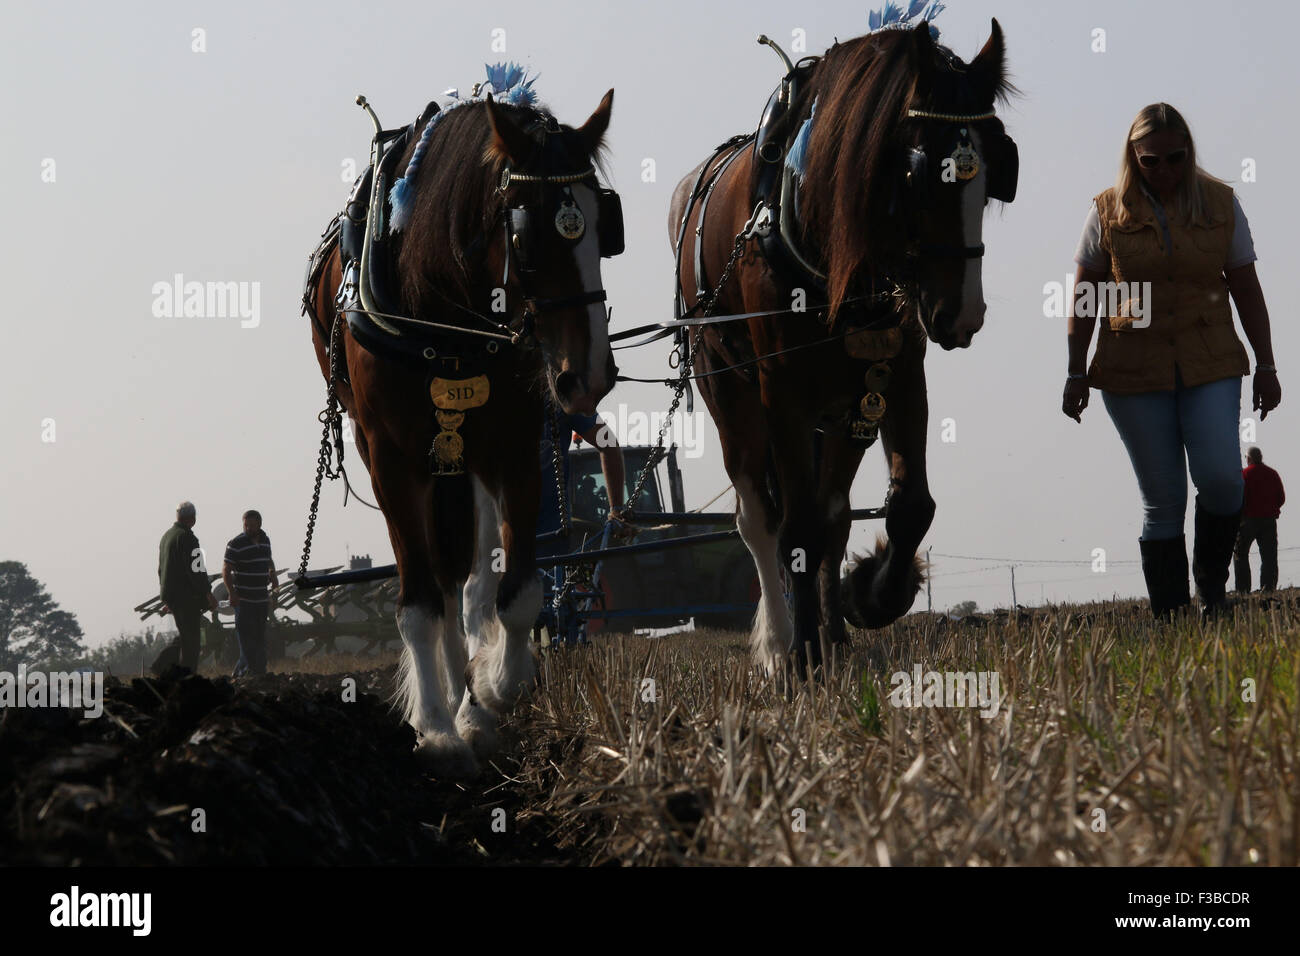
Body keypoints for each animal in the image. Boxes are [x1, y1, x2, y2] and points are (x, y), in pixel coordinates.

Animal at [304, 71, 621, 777]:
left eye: (605, 227)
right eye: (526, 237)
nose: (587, 375)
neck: (441, 312)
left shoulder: (514, 447)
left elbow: (517, 590)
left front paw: (495, 689)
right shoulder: (392, 459)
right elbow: (419, 603)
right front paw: (436, 730)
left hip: (464, 460)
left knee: (468, 583)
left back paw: (472, 696)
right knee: (440, 583)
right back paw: (449, 705)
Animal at [668, 18, 1017, 674]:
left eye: (997, 170)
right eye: (916, 173)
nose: (961, 314)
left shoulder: (896, 376)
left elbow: (909, 506)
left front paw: (872, 594)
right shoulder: (782, 389)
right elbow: (796, 528)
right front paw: (801, 652)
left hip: (843, 410)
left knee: (832, 511)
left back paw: (834, 633)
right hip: (729, 393)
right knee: (759, 520)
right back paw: (781, 644)